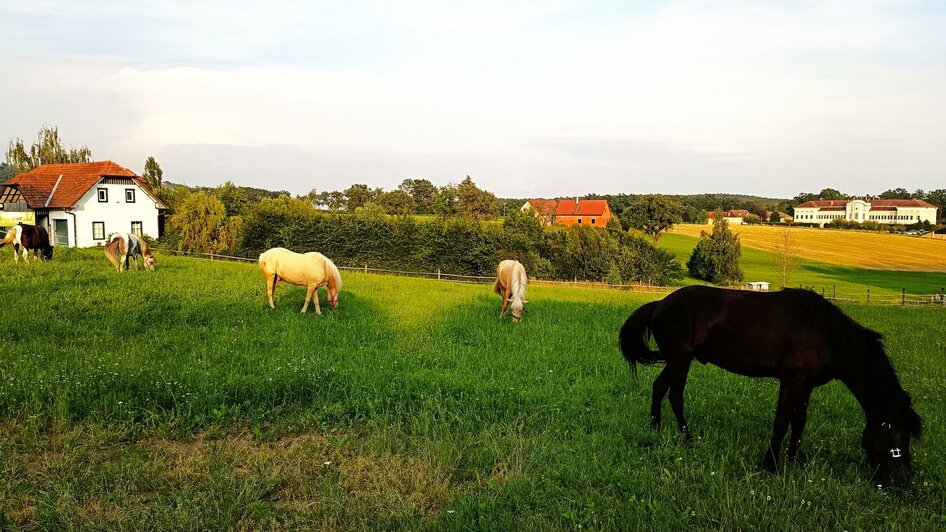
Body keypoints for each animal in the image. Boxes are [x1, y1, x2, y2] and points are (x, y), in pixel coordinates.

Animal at [620, 286, 920, 486]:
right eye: (895, 433)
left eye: (907, 436)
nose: (901, 481)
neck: (824, 334)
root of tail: (660, 303)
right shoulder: (791, 381)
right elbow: (782, 422)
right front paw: (771, 465)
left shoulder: (806, 385)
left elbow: (799, 422)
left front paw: (794, 458)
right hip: (680, 361)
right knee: (675, 395)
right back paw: (687, 438)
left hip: (676, 362)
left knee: (659, 388)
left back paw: (655, 428)